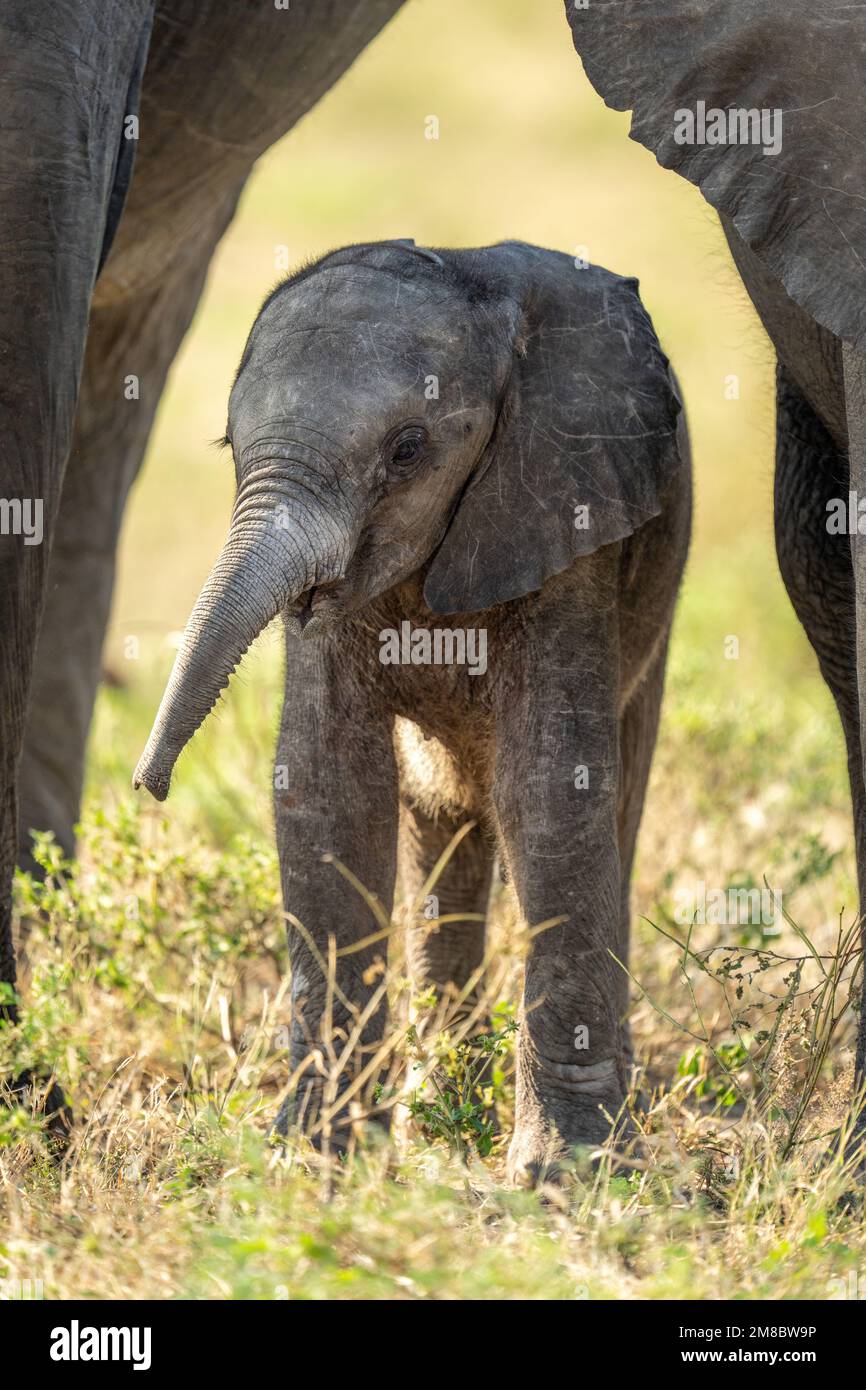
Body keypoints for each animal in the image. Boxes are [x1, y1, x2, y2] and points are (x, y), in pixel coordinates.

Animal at [133, 238, 692, 1182]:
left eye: (406, 449)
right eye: (229, 444)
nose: (149, 785)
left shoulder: (572, 516)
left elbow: (552, 789)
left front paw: (566, 1177)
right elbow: (328, 787)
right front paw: (314, 1162)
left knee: (608, 796)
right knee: (442, 816)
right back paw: (439, 1106)